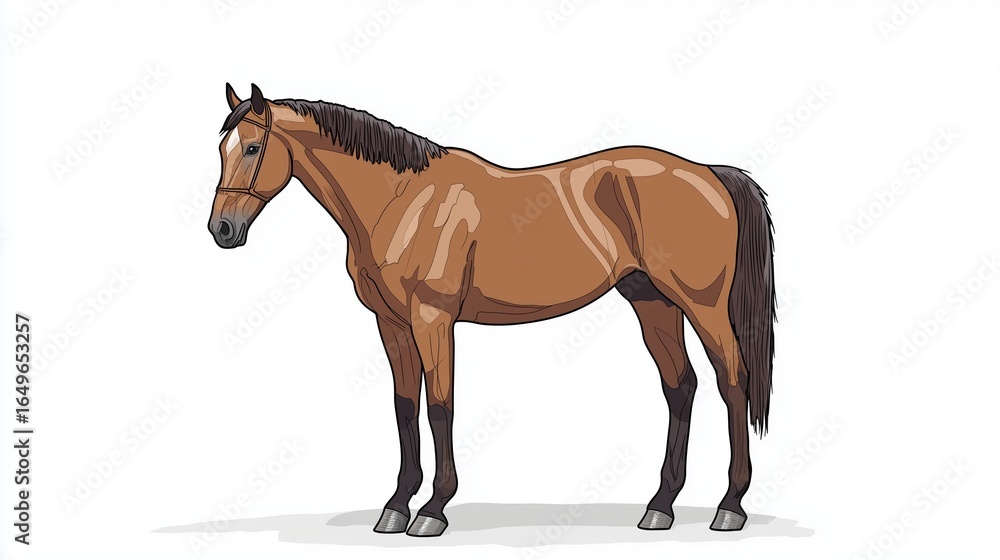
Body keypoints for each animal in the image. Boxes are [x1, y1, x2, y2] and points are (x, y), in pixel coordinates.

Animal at [209, 84, 775, 537]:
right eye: (221, 149)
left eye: (253, 147)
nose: (222, 230)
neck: (403, 198)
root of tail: (709, 173)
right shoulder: (392, 324)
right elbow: (404, 407)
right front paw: (396, 507)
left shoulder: (432, 319)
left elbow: (440, 406)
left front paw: (432, 510)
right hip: (651, 302)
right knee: (680, 387)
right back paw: (660, 507)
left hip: (702, 306)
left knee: (732, 382)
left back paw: (730, 506)